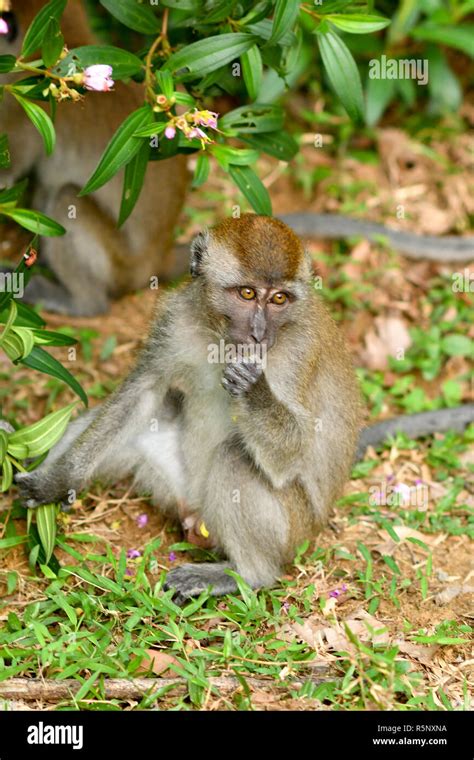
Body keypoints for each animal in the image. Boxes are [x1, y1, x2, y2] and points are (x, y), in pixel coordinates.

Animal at [0, 0, 189, 314]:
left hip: (120, 265)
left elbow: (7, 176)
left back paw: (79, 301)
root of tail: (159, 254)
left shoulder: (18, 110)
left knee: (65, 196)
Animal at [14, 217, 362, 604]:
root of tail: (196, 516)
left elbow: (293, 452)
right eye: (247, 294)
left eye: (279, 298)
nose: (259, 334)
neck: (219, 336)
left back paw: (246, 575)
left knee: (234, 458)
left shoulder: (299, 354)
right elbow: (145, 389)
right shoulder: (175, 317)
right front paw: (58, 481)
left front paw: (253, 389)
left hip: (292, 529)